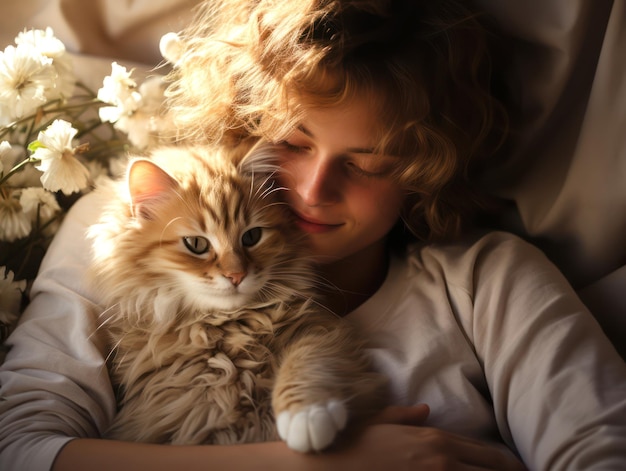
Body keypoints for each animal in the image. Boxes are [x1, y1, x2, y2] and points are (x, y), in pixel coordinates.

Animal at [84, 143, 382, 454]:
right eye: (196, 244)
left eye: (252, 237)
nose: (236, 275)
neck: (224, 327)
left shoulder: (319, 329)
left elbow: (307, 361)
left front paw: (307, 416)